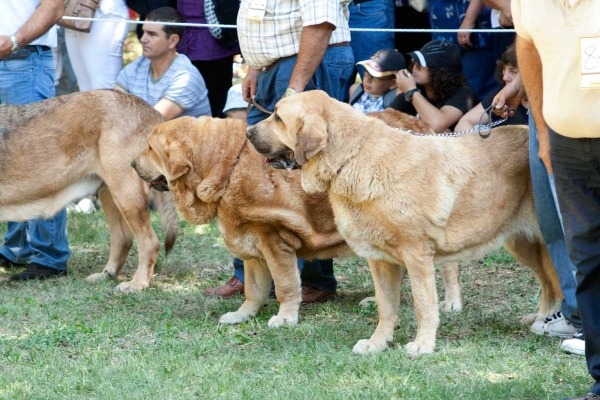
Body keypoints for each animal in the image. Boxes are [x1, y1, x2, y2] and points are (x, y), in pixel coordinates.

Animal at [0, 90, 178, 290]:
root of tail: (147, 108)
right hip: (109, 193)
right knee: (123, 239)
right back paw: (107, 274)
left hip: (127, 194)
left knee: (149, 243)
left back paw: (137, 284)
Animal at [245, 90, 564, 356]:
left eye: (277, 117)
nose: (247, 132)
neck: (352, 157)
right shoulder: (380, 260)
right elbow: (386, 307)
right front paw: (377, 343)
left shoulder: (417, 255)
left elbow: (424, 305)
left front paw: (422, 345)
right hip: (523, 244)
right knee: (549, 283)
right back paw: (540, 318)